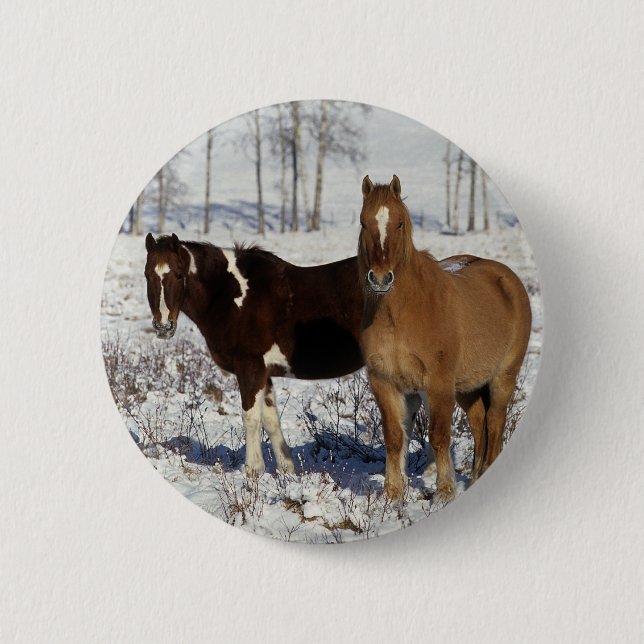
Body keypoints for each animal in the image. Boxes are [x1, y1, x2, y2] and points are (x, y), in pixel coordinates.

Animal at [144, 233, 422, 477]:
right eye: (147, 275)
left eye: (179, 275)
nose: (163, 326)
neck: (231, 295)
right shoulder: (263, 372)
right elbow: (270, 419)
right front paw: (286, 470)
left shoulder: (250, 367)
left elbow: (250, 417)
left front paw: (253, 471)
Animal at [357, 175, 531, 503]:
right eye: (363, 222)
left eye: (400, 223)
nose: (381, 279)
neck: (401, 313)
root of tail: (507, 279)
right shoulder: (385, 382)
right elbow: (394, 437)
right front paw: (392, 494)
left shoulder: (438, 383)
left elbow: (439, 436)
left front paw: (445, 492)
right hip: (466, 386)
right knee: (478, 422)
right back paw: (474, 478)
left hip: (502, 378)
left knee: (494, 422)